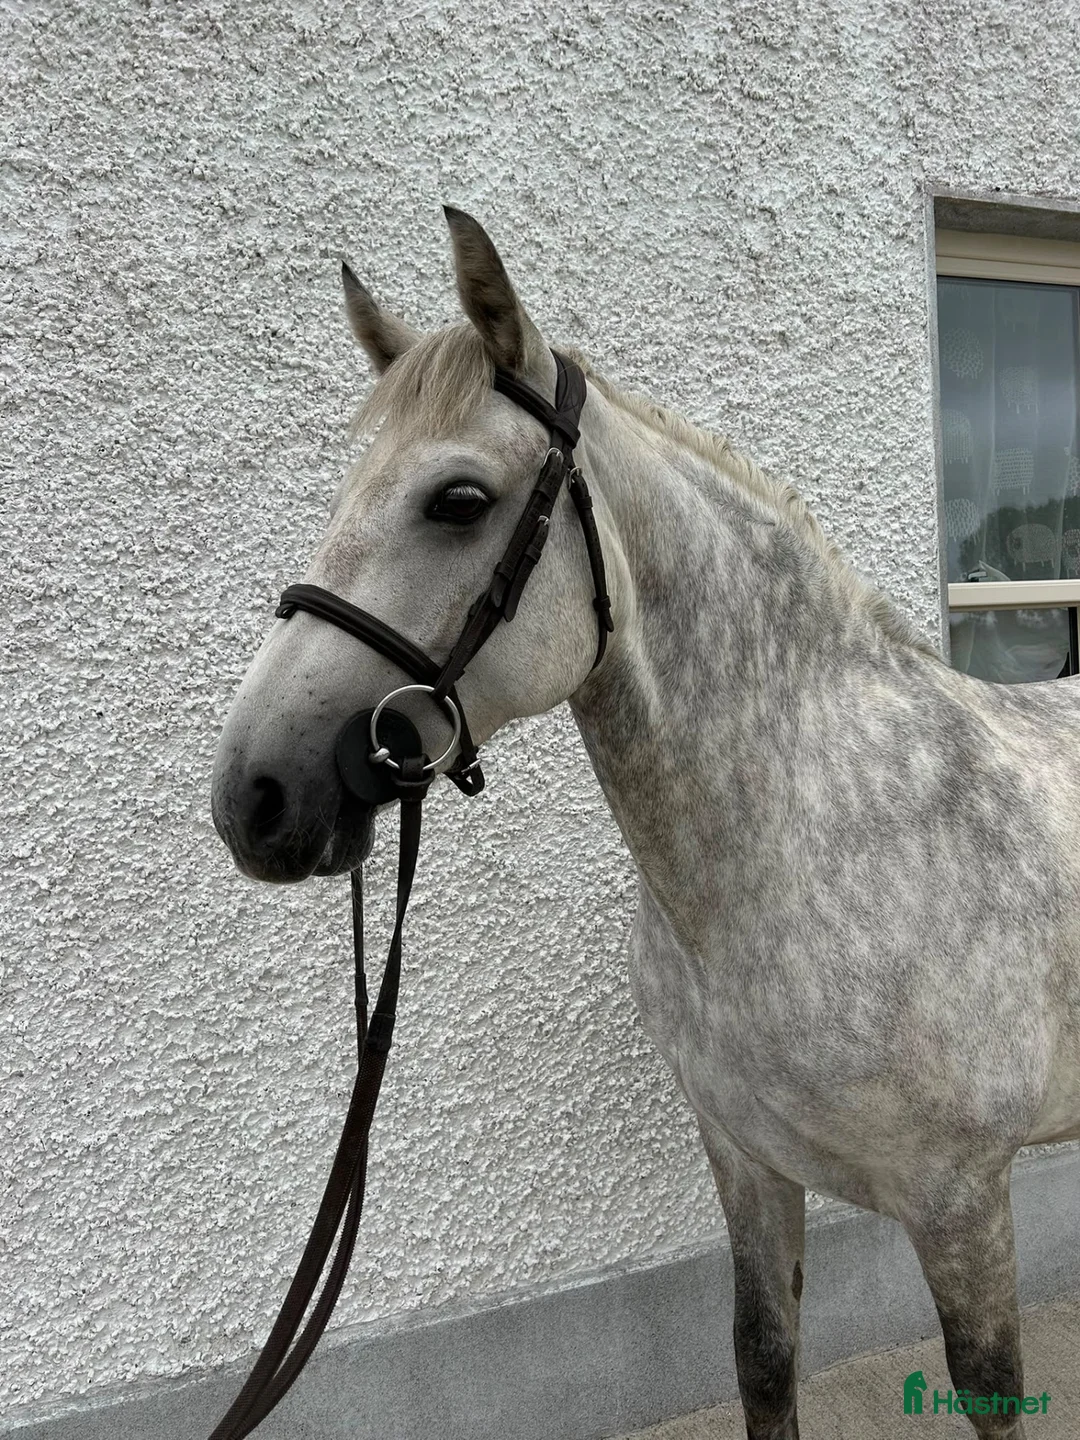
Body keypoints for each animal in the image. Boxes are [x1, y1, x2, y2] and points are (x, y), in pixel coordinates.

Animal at [211, 208, 1080, 1439]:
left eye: (458, 500)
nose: (255, 795)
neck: (825, 835)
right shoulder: (746, 1161)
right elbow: (763, 1356)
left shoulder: (962, 1198)